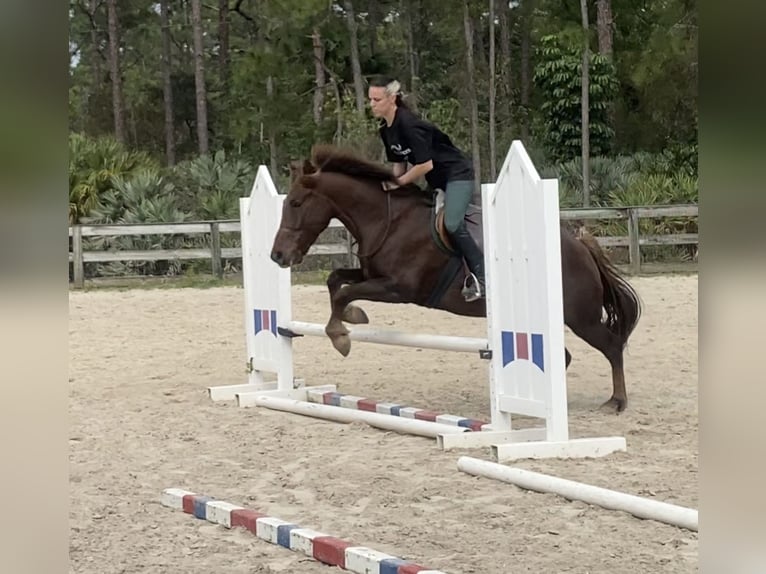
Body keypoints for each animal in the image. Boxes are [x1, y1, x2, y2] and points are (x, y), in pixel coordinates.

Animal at [270, 144, 642, 413]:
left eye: (296, 203)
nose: (278, 256)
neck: (387, 220)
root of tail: (579, 245)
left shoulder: (398, 288)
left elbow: (345, 293)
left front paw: (341, 335)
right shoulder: (371, 273)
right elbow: (336, 281)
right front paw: (351, 318)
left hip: (580, 317)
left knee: (611, 345)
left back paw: (617, 401)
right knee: (564, 356)